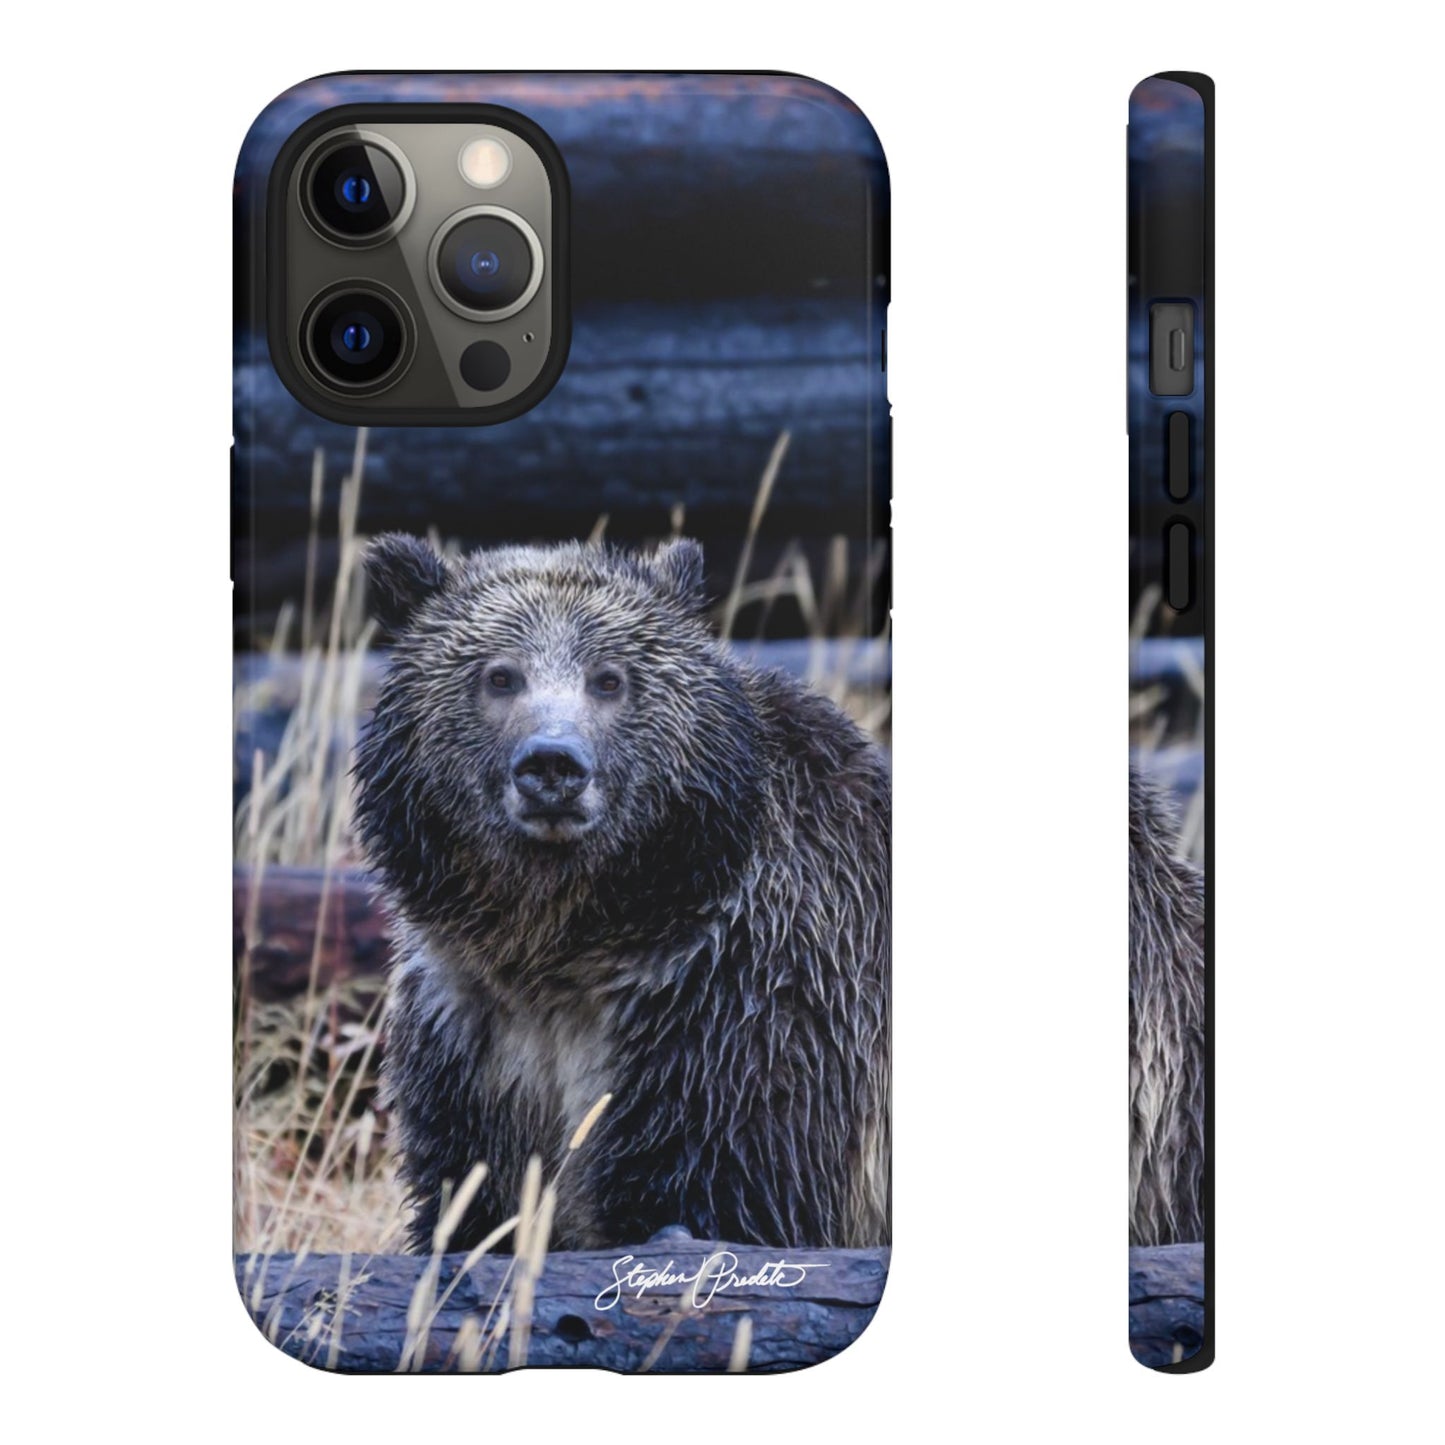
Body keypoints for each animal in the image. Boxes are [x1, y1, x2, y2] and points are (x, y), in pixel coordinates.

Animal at [353, 534, 891, 1255]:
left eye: (608, 678)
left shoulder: (741, 1009)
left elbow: (722, 1190)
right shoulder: (471, 1032)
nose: (553, 765)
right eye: (500, 675)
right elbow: (470, 1198)